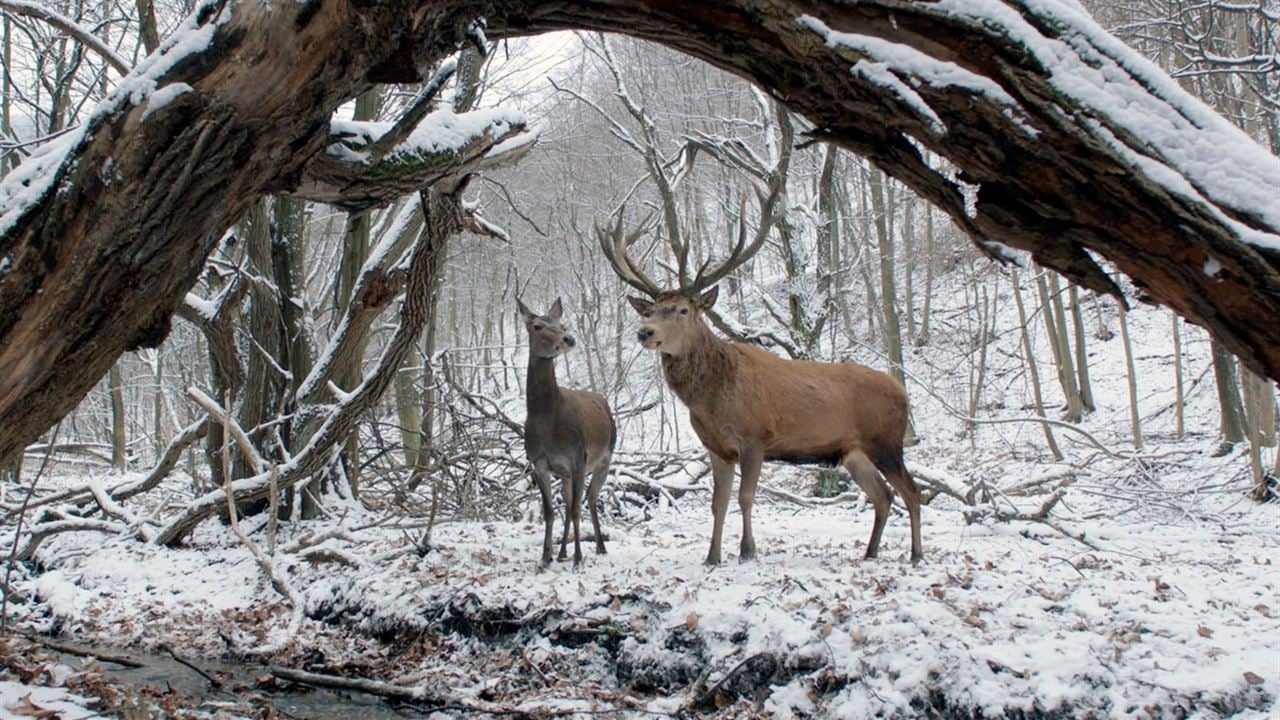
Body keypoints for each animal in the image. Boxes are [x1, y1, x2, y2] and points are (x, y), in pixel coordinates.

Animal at [519, 294, 619, 563]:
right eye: (537, 326)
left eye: (562, 325)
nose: (569, 339)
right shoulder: (539, 462)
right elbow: (550, 511)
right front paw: (546, 557)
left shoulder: (577, 457)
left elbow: (575, 510)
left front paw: (578, 559)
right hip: (565, 472)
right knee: (571, 502)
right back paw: (563, 551)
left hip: (604, 457)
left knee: (590, 499)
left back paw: (599, 547)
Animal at [599, 204, 921, 563]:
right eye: (651, 310)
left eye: (682, 309)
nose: (645, 332)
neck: (712, 400)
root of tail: (904, 392)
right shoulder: (716, 448)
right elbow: (718, 504)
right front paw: (712, 557)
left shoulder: (755, 437)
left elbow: (745, 497)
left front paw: (747, 551)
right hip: (853, 453)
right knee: (883, 496)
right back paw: (870, 552)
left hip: (887, 441)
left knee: (912, 491)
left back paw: (916, 554)